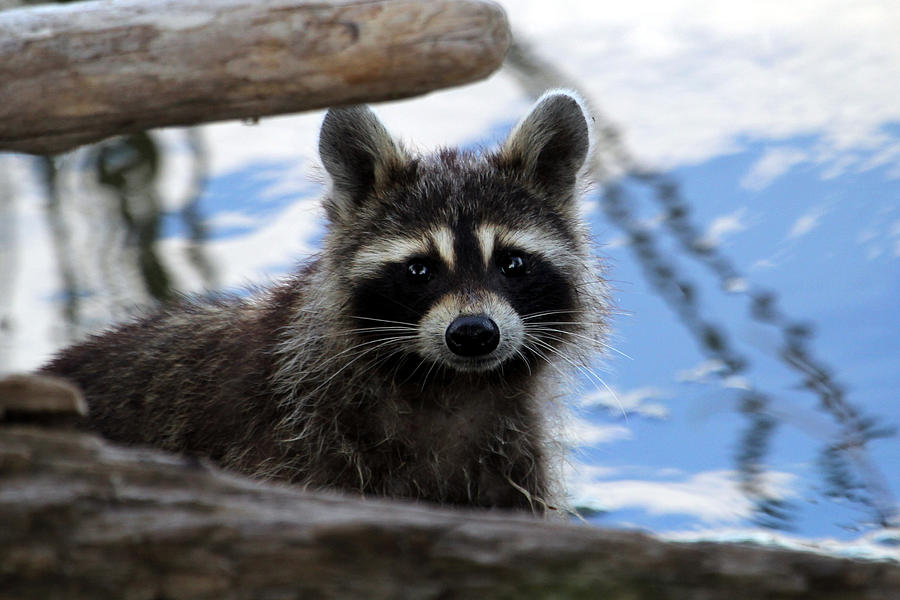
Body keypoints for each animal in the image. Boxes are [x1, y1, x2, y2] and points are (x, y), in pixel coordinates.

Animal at [40, 91, 604, 512]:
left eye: (511, 264)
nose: (473, 333)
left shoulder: (512, 456)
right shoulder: (288, 441)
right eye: (419, 269)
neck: (450, 385)